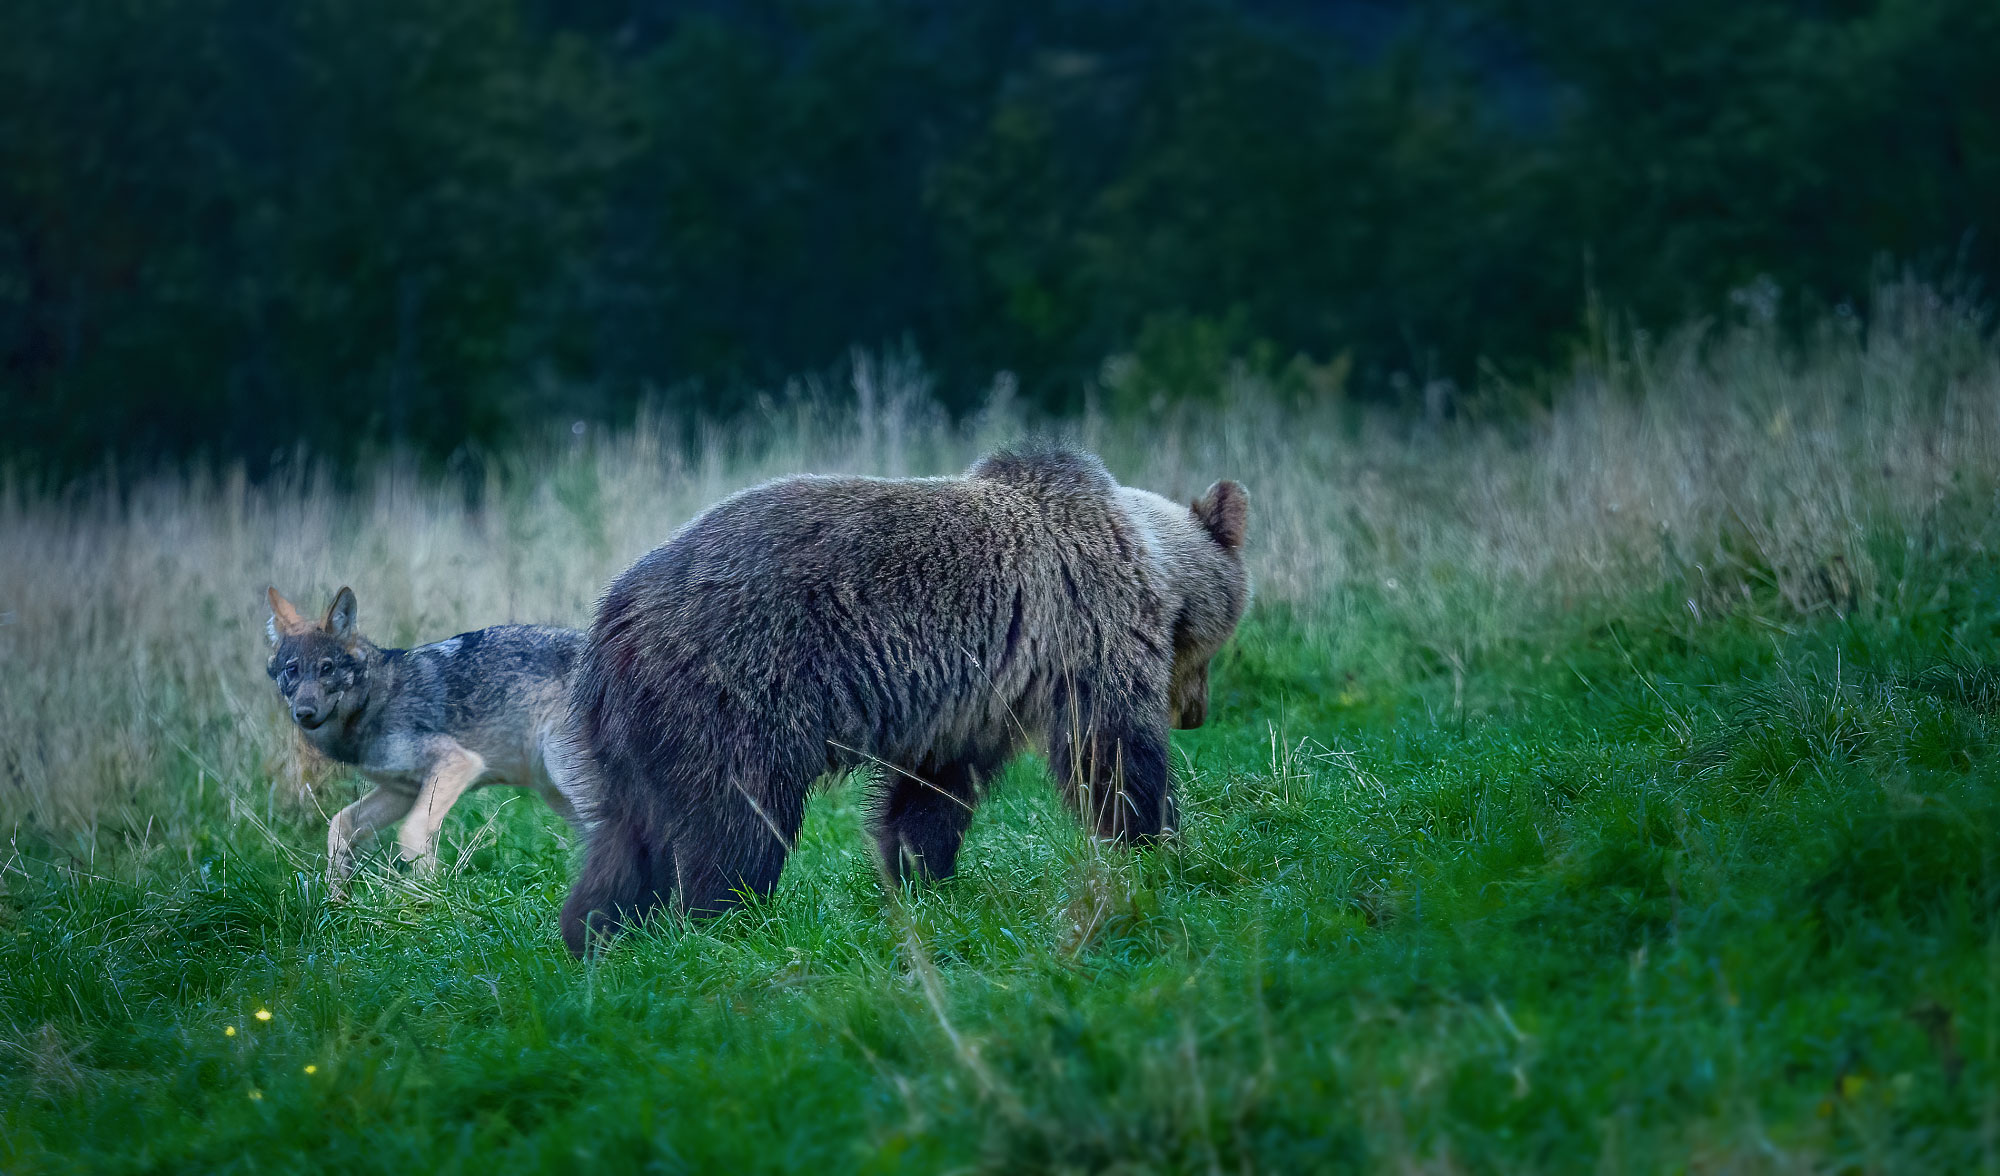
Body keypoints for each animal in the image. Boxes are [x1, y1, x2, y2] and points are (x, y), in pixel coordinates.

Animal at [262, 588, 584, 892]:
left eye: (326, 668)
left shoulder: (458, 763)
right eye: (292, 670)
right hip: (557, 793)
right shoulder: (402, 790)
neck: (375, 700)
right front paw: (336, 898)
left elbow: (411, 833)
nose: (304, 713)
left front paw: (429, 895)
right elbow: (340, 823)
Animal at [564, 446, 1248, 952]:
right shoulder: (1083, 623)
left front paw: (922, 875)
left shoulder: (974, 699)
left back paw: (595, 934)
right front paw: (1157, 844)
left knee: (626, 840)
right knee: (737, 823)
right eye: (1211, 645)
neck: (1152, 560)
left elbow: (930, 792)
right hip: (735, 688)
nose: (1195, 714)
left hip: (639, 733)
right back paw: (725, 920)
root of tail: (613, 618)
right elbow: (1112, 749)